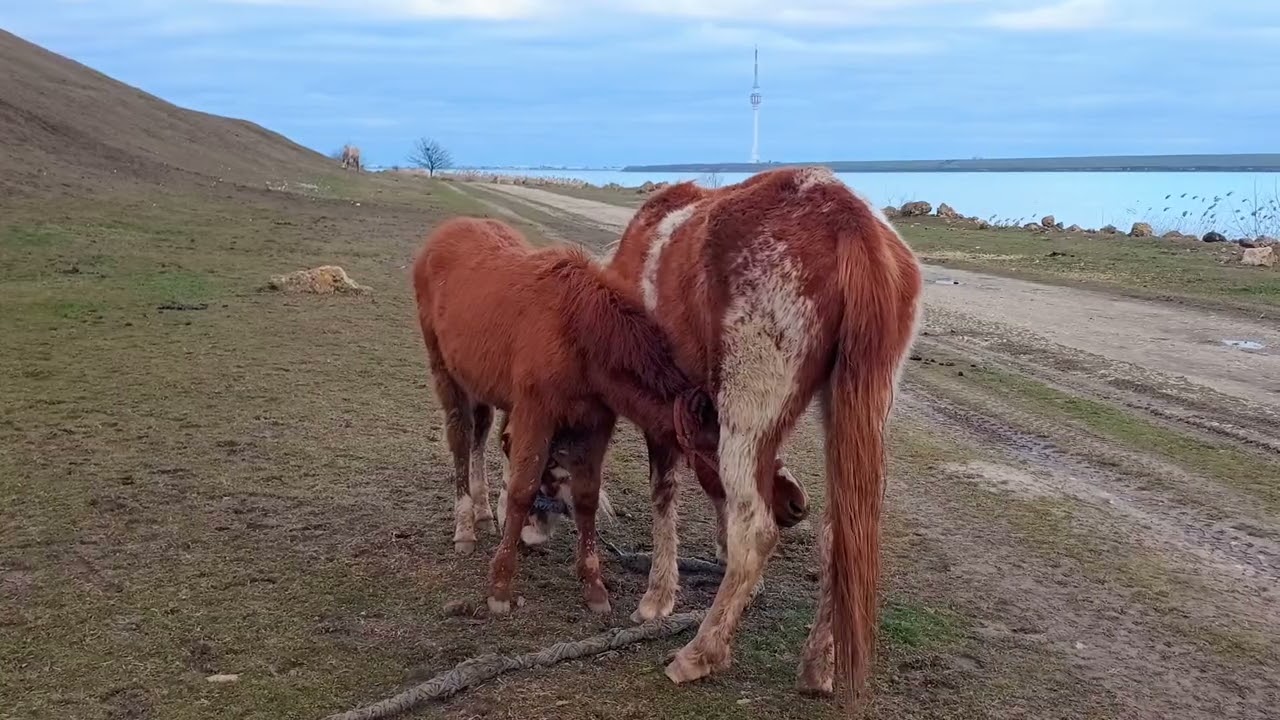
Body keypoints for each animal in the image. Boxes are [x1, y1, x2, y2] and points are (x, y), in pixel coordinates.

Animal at [411, 216, 721, 615]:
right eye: (717, 448)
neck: (579, 334)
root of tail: (446, 231)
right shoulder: (535, 416)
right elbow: (522, 490)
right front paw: (500, 588)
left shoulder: (595, 425)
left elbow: (586, 497)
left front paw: (593, 584)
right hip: (446, 374)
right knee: (461, 440)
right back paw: (465, 526)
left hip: (478, 382)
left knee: (480, 434)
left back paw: (482, 511)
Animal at [607, 167, 923, 705]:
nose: (794, 505)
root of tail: (848, 220)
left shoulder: (662, 413)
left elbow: (664, 495)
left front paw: (657, 597)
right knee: (838, 538)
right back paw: (816, 667)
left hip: (749, 409)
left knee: (755, 531)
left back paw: (700, 653)